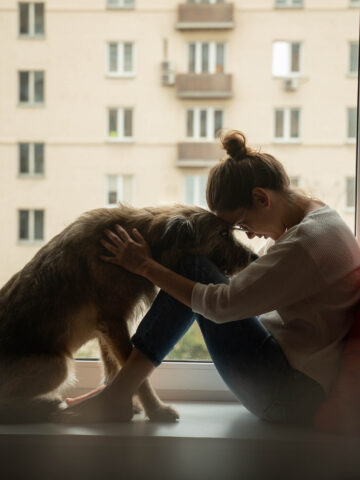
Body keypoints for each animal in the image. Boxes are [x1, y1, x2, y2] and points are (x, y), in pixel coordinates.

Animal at [0, 204, 256, 422]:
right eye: (223, 234)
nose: (255, 257)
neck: (146, 237)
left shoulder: (106, 327)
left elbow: (113, 367)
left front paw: (125, 406)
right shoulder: (113, 321)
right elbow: (137, 376)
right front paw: (155, 410)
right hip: (58, 366)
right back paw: (44, 405)